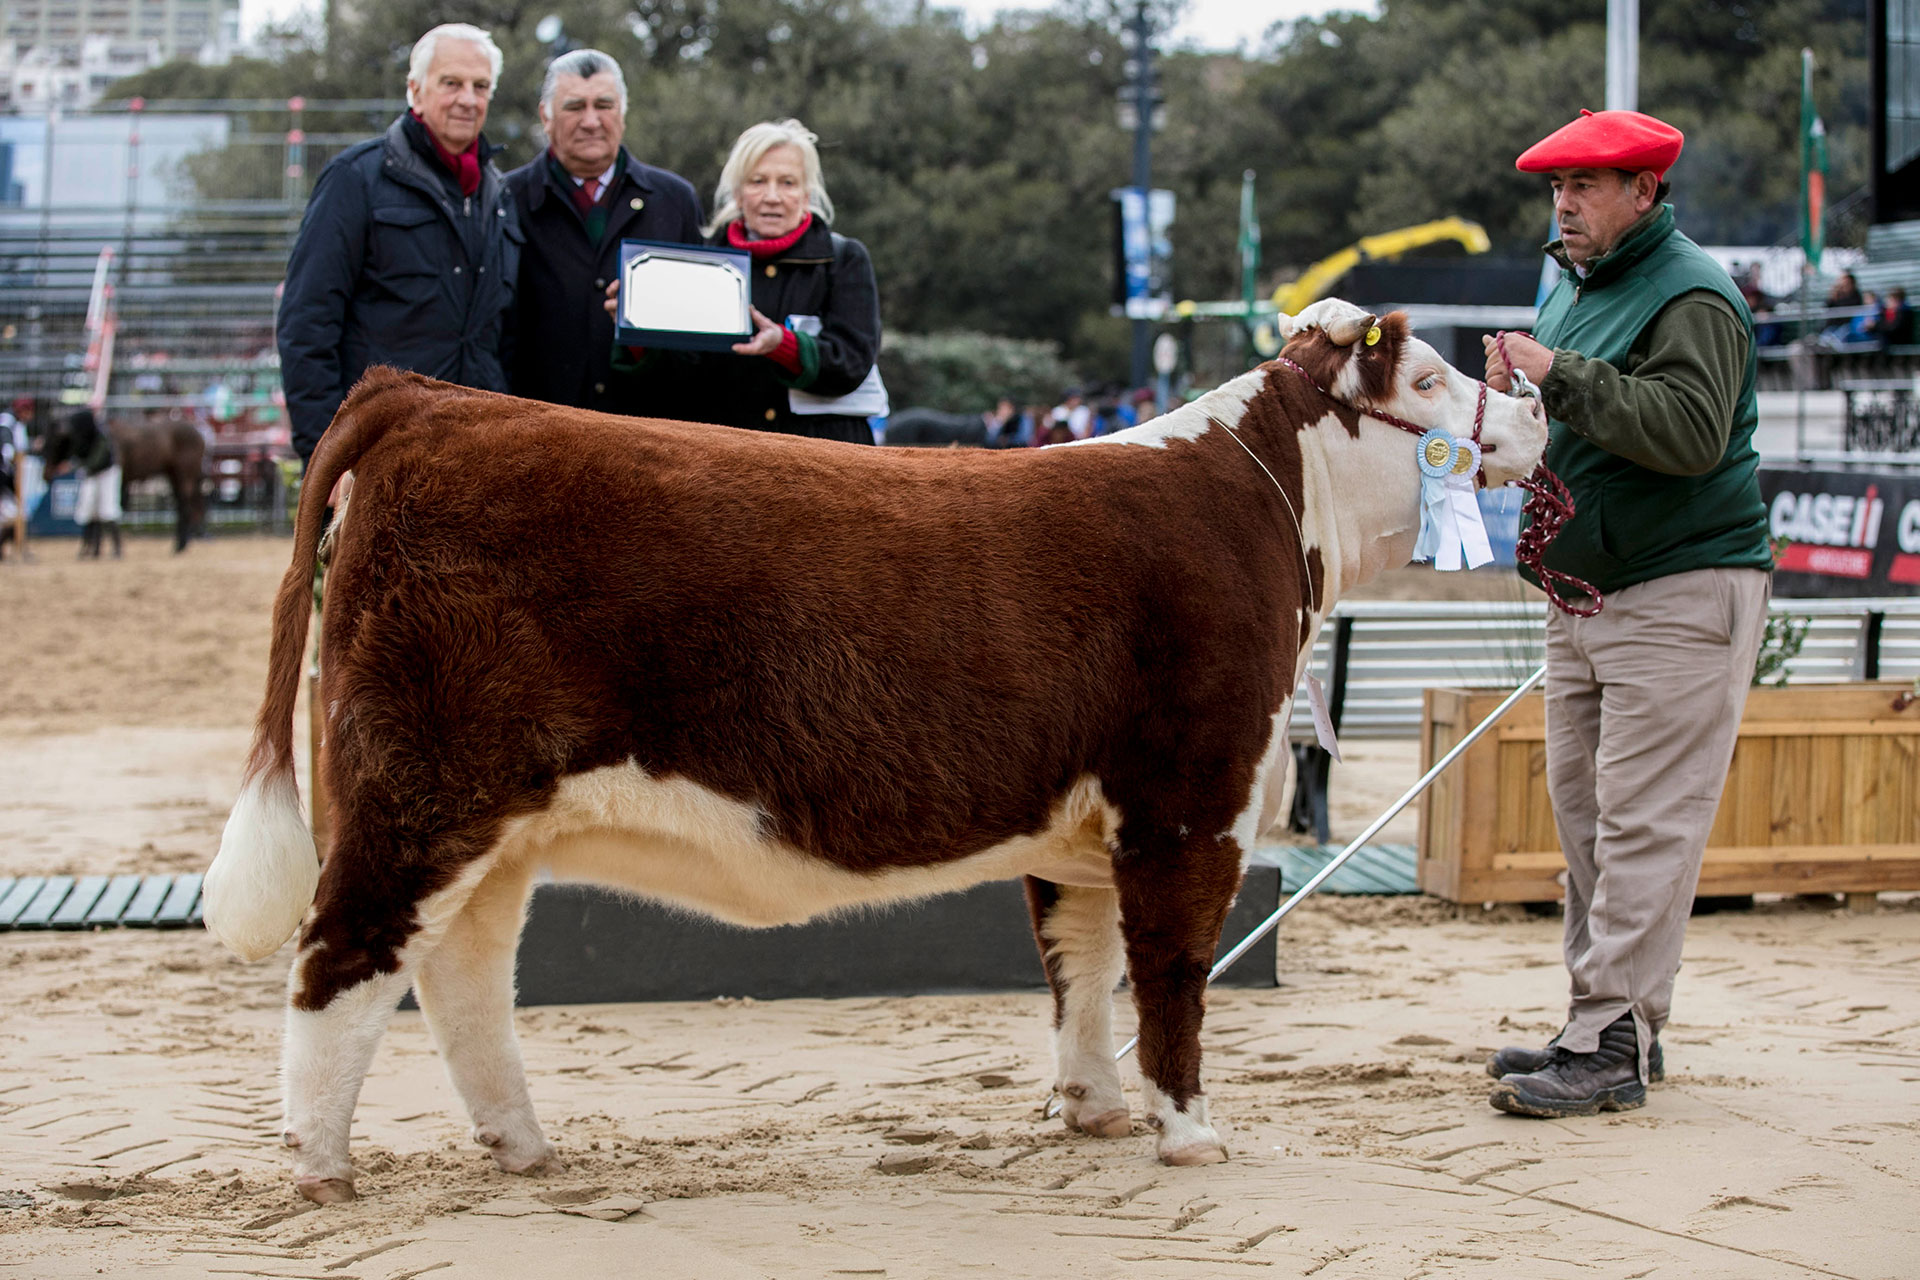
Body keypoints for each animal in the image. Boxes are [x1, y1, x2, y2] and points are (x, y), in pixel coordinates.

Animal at [40, 408, 206, 552]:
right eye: (45, 440)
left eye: (56, 442)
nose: (46, 475)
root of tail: (198, 433)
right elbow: (97, 512)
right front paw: (92, 550)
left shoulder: (120, 480)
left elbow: (110, 510)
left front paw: (101, 549)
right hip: (173, 474)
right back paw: (180, 544)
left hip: (184, 474)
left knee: (185, 506)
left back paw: (180, 545)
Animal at [202, 297, 1543, 1205]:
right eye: (1430, 376)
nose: (1532, 404)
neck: (1262, 498)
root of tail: (432, 398)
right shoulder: (1189, 796)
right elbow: (1169, 970)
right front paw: (1188, 1129)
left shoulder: (1086, 821)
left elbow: (1079, 963)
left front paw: (1094, 1108)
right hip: (418, 788)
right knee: (340, 959)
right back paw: (321, 1165)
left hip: (497, 819)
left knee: (462, 971)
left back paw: (522, 1144)